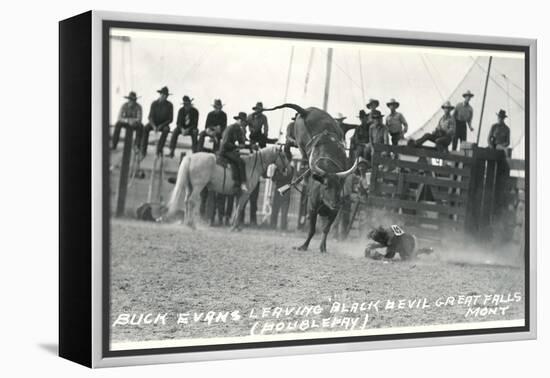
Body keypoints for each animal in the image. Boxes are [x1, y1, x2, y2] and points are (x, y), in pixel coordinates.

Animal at [264, 103, 360, 252]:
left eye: (339, 187)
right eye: (325, 186)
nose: (335, 204)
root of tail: (306, 111)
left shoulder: (334, 213)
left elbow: (326, 229)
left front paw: (323, 247)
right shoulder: (312, 208)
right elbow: (312, 229)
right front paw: (303, 246)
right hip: (300, 142)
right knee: (292, 143)